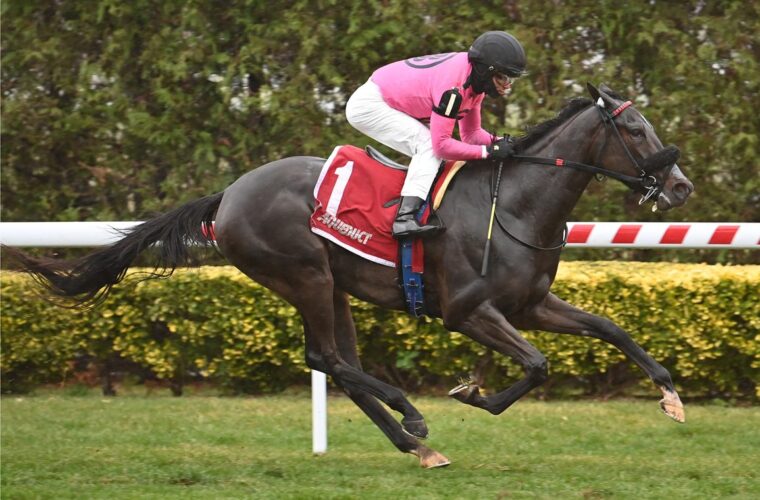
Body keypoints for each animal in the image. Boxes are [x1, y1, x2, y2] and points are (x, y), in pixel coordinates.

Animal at [7, 83, 694, 468]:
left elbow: (609, 328)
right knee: (328, 358)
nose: (681, 185)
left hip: (332, 286)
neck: (516, 204)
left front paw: (669, 393)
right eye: (635, 129)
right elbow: (537, 365)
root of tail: (228, 194)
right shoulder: (468, 311)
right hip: (304, 274)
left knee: (337, 363)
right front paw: (473, 393)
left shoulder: (528, 305)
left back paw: (417, 446)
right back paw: (412, 418)